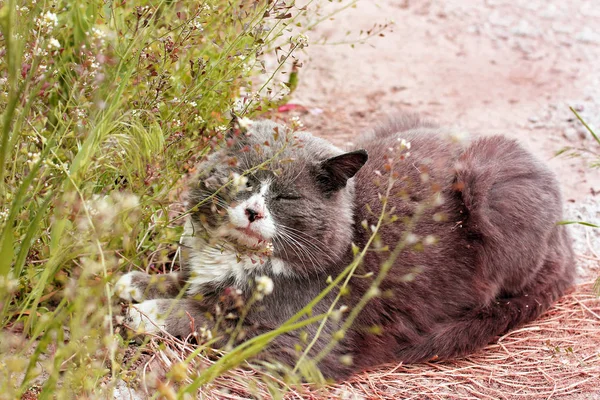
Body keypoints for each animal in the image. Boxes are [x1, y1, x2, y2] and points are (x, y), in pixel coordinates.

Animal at [113, 114, 576, 380]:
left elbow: (210, 320)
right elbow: (187, 282)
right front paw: (137, 283)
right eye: (245, 179)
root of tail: (566, 242)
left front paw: (150, 312)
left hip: (490, 181)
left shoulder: (296, 345)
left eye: (286, 197)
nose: (252, 211)